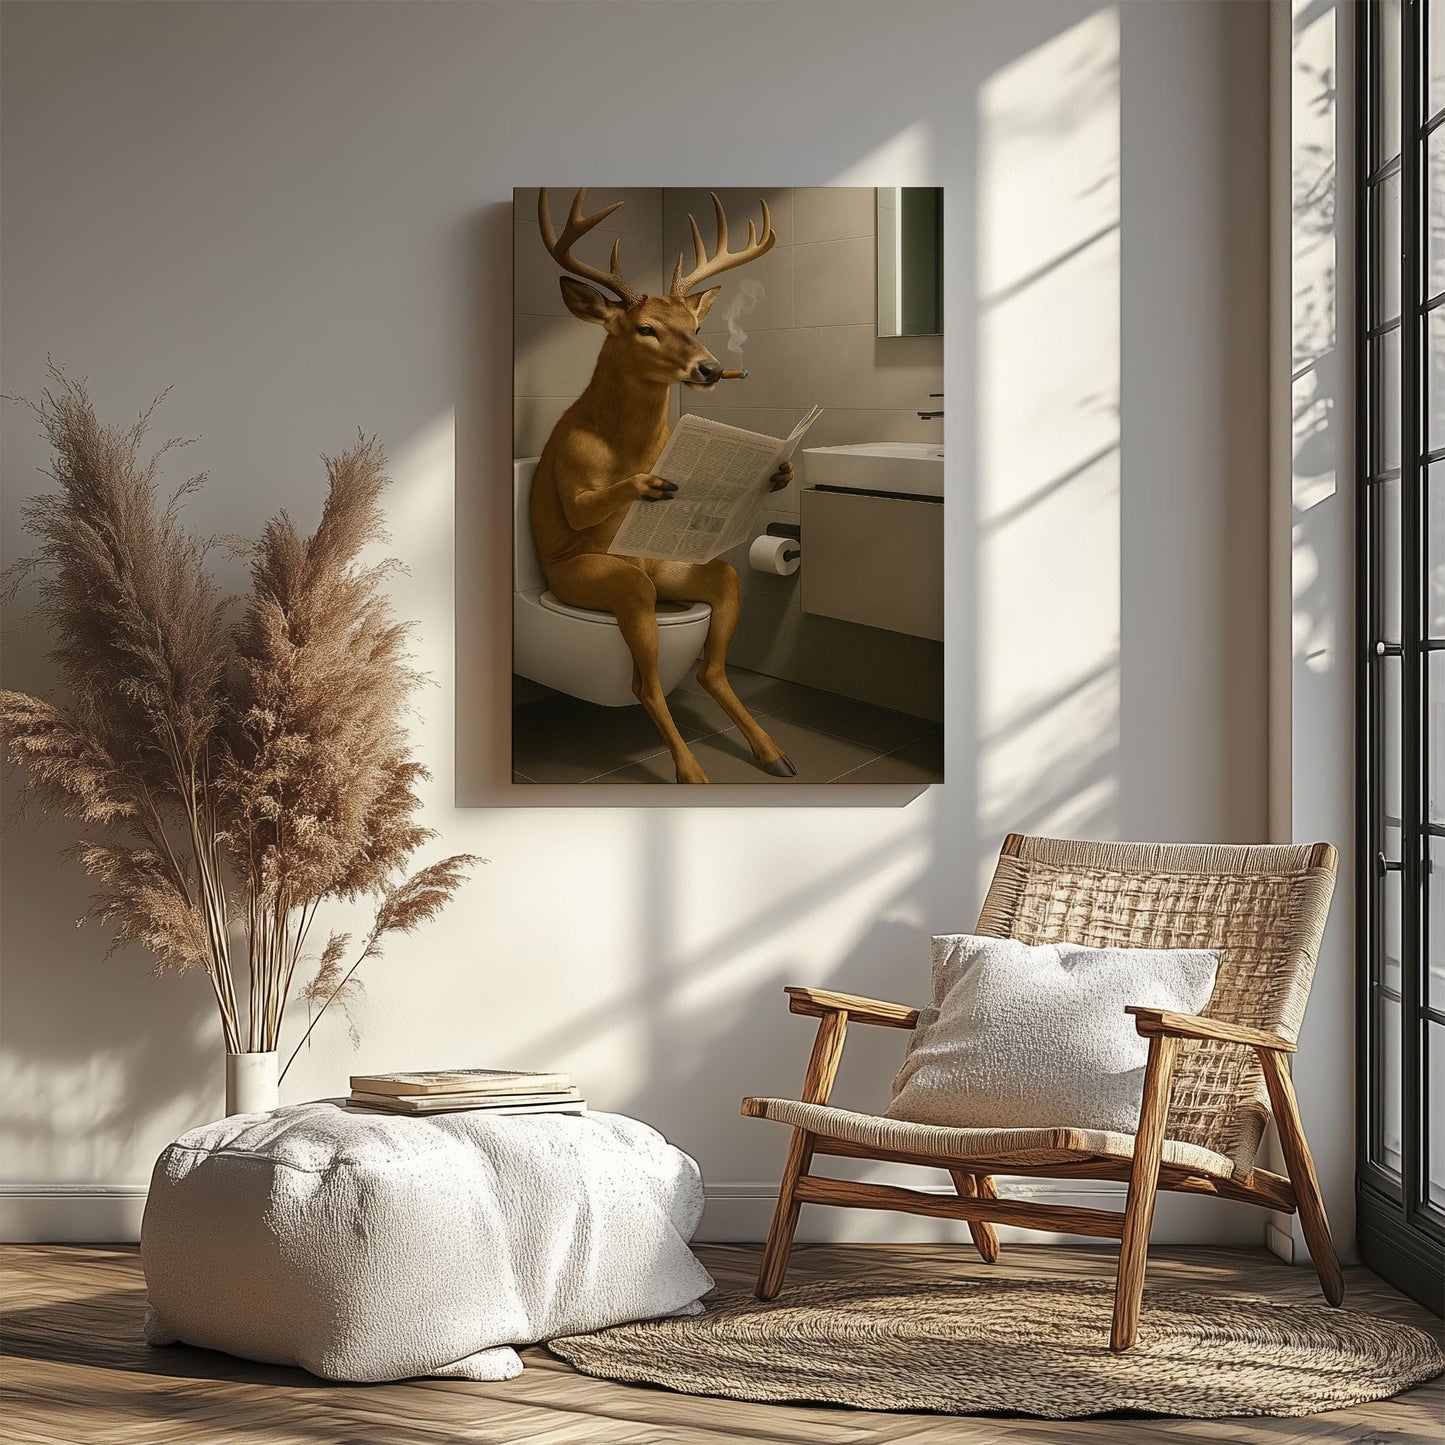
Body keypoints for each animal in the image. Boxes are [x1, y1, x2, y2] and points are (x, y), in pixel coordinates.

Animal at [531, 188, 796, 784]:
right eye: (645, 327)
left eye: (694, 325)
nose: (711, 368)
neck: (626, 442)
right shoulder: (571, 467)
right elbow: (581, 507)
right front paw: (648, 484)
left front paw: (779, 471)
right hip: (602, 580)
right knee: (643, 681)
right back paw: (693, 771)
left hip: (677, 572)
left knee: (711, 653)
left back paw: (773, 750)